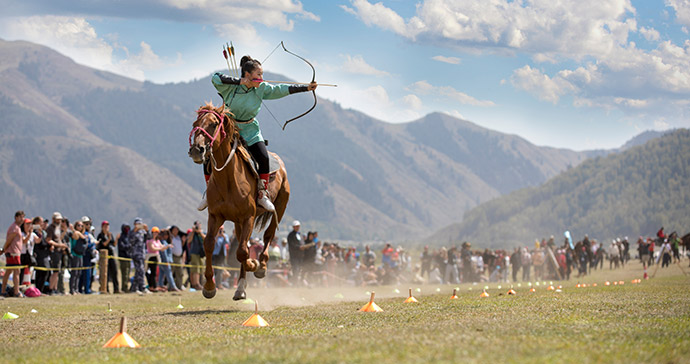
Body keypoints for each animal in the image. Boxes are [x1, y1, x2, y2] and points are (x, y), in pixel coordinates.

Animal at [185, 101, 288, 298]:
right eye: (195, 124)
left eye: (213, 124)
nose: (197, 150)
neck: (228, 179)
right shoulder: (215, 216)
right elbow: (209, 244)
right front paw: (209, 286)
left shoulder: (248, 216)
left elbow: (242, 252)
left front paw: (254, 264)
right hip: (238, 222)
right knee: (243, 242)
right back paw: (240, 287)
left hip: (279, 206)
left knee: (268, 235)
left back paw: (261, 266)